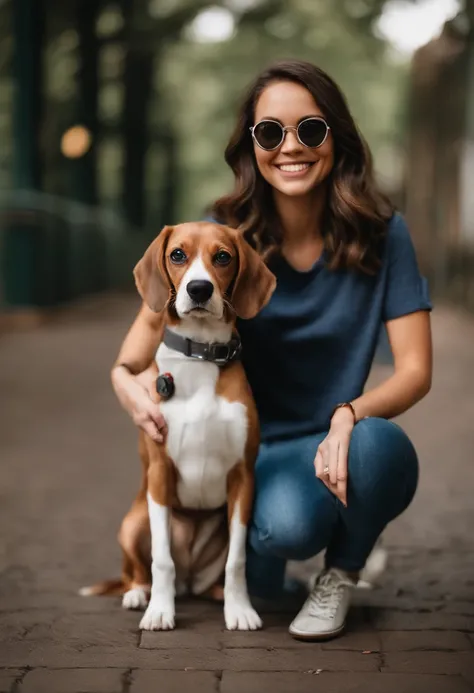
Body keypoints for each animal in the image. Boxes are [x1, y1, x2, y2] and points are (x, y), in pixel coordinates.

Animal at [79, 219, 276, 628]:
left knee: (208, 579)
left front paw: (240, 610)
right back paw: (139, 594)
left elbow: (237, 561)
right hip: (133, 522)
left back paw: (215, 595)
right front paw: (159, 611)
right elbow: (162, 559)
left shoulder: (243, 477)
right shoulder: (160, 471)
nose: (199, 288)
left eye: (223, 257)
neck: (200, 357)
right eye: (178, 254)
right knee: (138, 571)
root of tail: (189, 581)